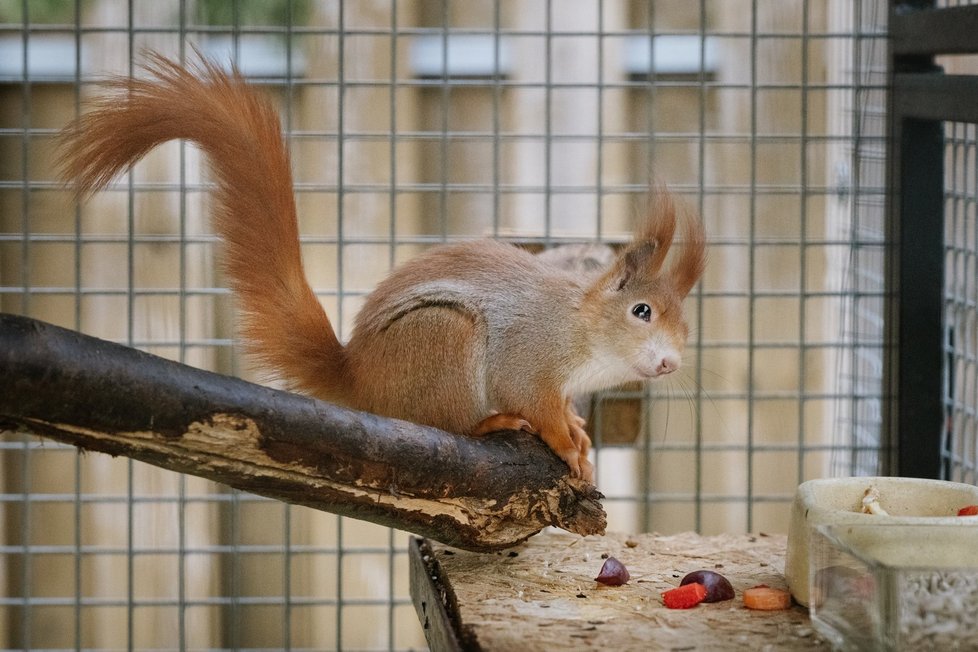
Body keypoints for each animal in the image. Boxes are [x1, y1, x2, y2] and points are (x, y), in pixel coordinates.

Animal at [59, 54, 700, 484]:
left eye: (686, 325)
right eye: (641, 311)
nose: (672, 364)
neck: (583, 332)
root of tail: (361, 378)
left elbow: (564, 408)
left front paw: (581, 433)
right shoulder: (531, 357)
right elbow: (538, 405)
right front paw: (567, 445)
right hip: (444, 339)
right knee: (443, 421)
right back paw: (490, 424)